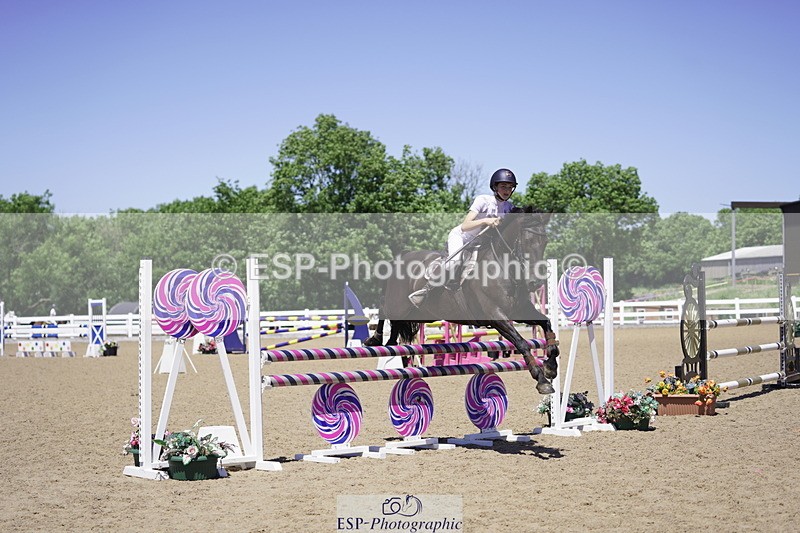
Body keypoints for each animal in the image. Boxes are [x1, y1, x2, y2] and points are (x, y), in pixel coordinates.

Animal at [364, 206, 559, 395]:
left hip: (421, 313)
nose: (535, 282)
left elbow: (546, 324)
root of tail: (402, 256)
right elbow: (521, 342)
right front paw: (542, 381)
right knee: (383, 307)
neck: (503, 268)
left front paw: (551, 366)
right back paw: (375, 340)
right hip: (398, 304)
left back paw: (390, 344)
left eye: (545, 242)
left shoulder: (519, 311)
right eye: (526, 241)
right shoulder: (495, 315)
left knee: (395, 323)